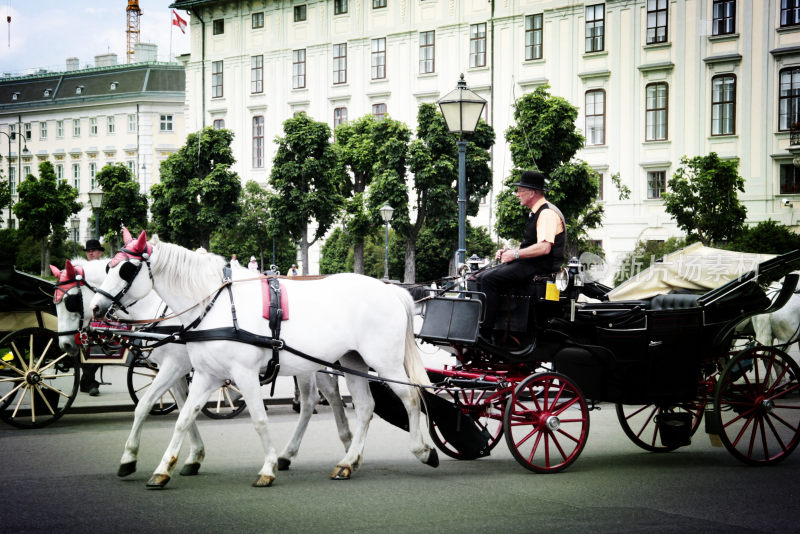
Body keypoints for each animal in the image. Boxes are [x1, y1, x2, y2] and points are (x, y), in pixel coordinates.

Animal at [91, 230, 440, 490]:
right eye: (107, 267)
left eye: (125, 269)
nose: (95, 308)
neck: (214, 305)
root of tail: (391, 289)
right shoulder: (206, 375)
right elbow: (181, 416)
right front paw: (162, 467)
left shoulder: (238, 373)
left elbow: (259, 419)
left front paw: (268, 467)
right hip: (352, 361)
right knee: (365, 407)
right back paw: (347, 461)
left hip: (383, 361)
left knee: (410, 397)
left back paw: (422, 450)